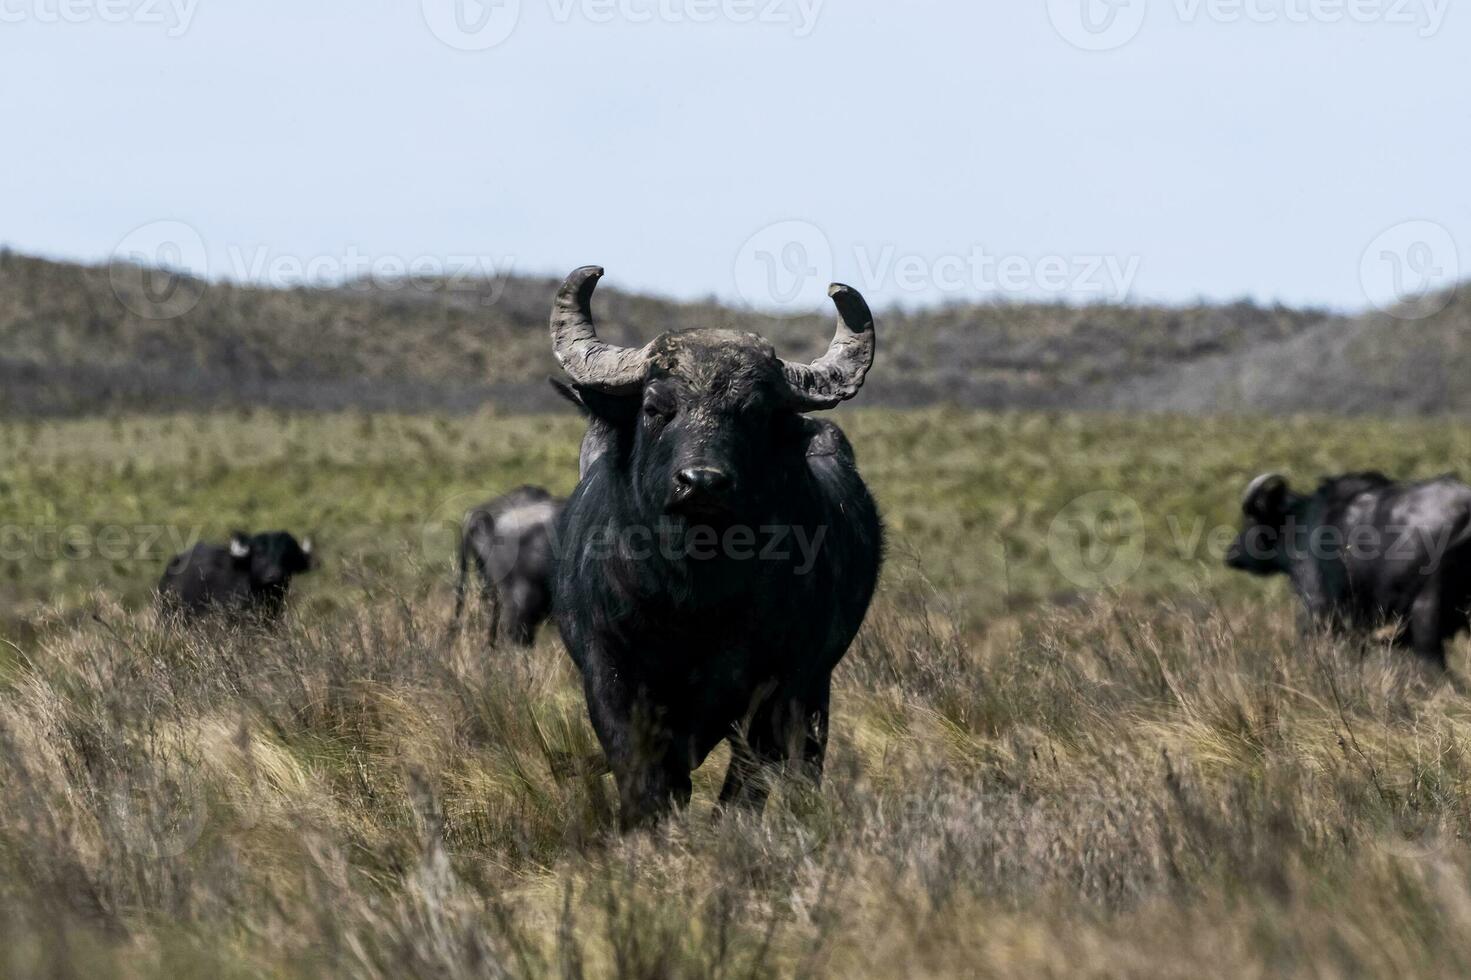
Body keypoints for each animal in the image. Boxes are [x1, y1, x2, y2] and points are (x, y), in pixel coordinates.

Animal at [547, 264, 876, 824]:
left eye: (754, 413)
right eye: (656, 407)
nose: (701, 483)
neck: (690, 597)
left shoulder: (781, 685)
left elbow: (745, 787)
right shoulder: (610, 677)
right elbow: (644, 778)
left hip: (818, 689)